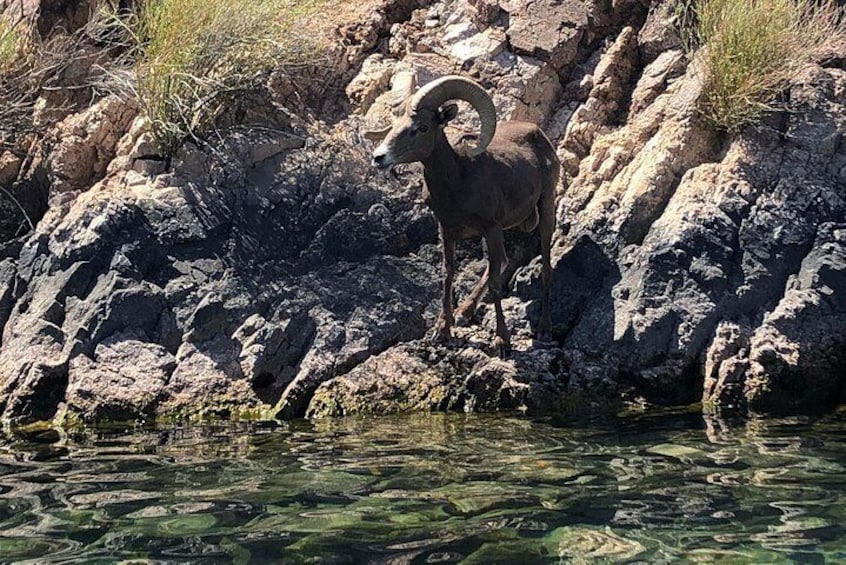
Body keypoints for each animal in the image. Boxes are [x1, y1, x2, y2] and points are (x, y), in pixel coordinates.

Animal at [368, 72, 560, 354]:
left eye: (422, 127)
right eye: (394, 124)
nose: (379, 157)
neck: (458, 183)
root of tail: (539, 135)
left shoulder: (491, 228)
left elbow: (495, 284)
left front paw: (502, 340)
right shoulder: (446, 230)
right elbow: (448, 274)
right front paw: (442, 329)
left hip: (545, 208)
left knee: (545, 266)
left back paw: (545, 329)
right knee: (504, 261)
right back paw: (464, 313)